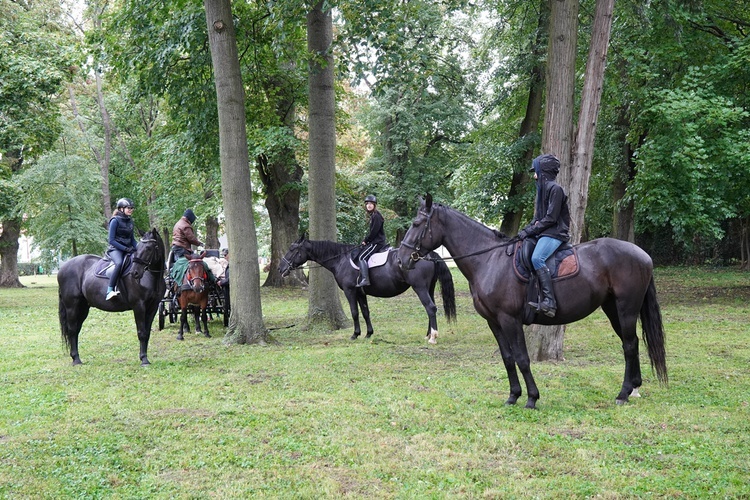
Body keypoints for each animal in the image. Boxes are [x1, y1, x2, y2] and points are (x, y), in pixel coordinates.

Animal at [57, 229, 167, 366]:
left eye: (148, 248)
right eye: (138, 248)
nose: (135, 273)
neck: (151, 277)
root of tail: (62, 268)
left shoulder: (153, 307)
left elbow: (147, 333)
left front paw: (145, 358)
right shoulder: (139, 306)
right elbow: (141, 333)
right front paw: (144, 360)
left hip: (83, 308)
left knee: (76, 330)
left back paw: (76, 357)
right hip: (72, 307)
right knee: (72, 330)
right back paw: (76, 360)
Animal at [280, 236, 458, 342]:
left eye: (292, 250)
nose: (280, 268)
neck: (341, 259)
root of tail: (429, 255)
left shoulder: (350, 291)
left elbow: (354, 312)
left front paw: (355, 334)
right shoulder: (360, 293)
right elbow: (365, 312)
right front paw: (368, 333)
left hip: (419, 288)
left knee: (430, 308)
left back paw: (433, 336)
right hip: (428, 288)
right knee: (431, 308)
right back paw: (428, 334)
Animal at [400, 193, 668, 408]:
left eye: (416, 223)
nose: (402, 259)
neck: (489, 260)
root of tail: (642, 254)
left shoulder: (510, 319)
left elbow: (522, 358)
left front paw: (531, 398)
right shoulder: (494, 322)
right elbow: (508, 359)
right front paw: (513, 396)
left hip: (626, 309)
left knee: (630, 345)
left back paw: (623, 393)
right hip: (613, 309)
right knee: (631, 343)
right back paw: (634, 388)